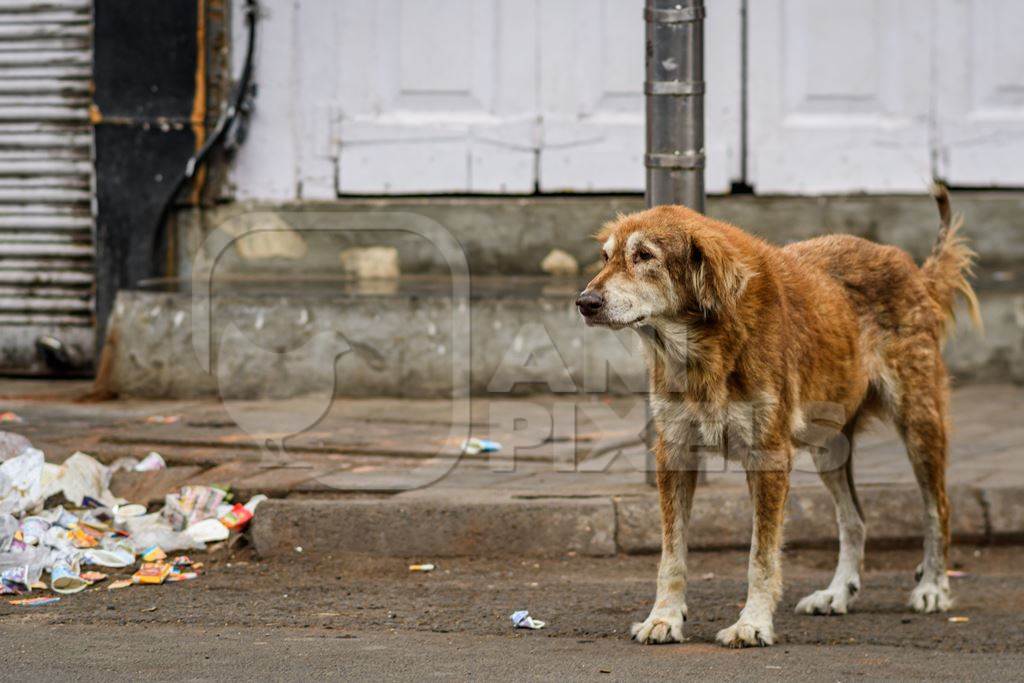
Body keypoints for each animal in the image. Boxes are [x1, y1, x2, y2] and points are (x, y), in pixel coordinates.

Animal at [573, 185, 978, 647]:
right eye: (606, 257)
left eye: (644, 256)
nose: (585, 302)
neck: (704, 346)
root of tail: (912, 270)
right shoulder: (673, 452)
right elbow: (671, 553)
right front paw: (665, 617)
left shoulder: (768, 457)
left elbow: (761, 556)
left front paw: (752, 623)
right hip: (829, 446)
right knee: (854, 520)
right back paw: (838, 593)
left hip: (919, 423)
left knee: (938, 509)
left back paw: (933, 586)